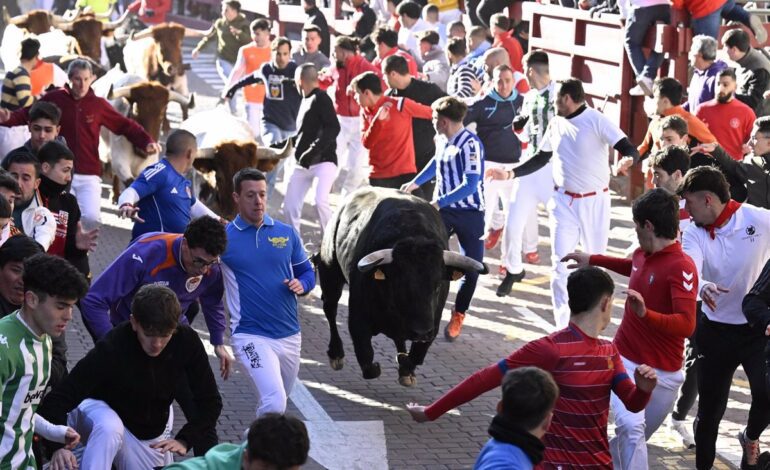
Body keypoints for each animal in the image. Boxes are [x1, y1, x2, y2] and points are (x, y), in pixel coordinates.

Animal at [314, 189, 484, 388]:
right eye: (400, 286)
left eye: (437, 285)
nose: (421, 331)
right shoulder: (358, 317)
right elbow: (367, 358)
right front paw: (381, 366)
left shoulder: (433, 323)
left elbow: (416, 355)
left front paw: (406, 369)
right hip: (330, 271)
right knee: (330, 309)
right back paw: (336, 354)